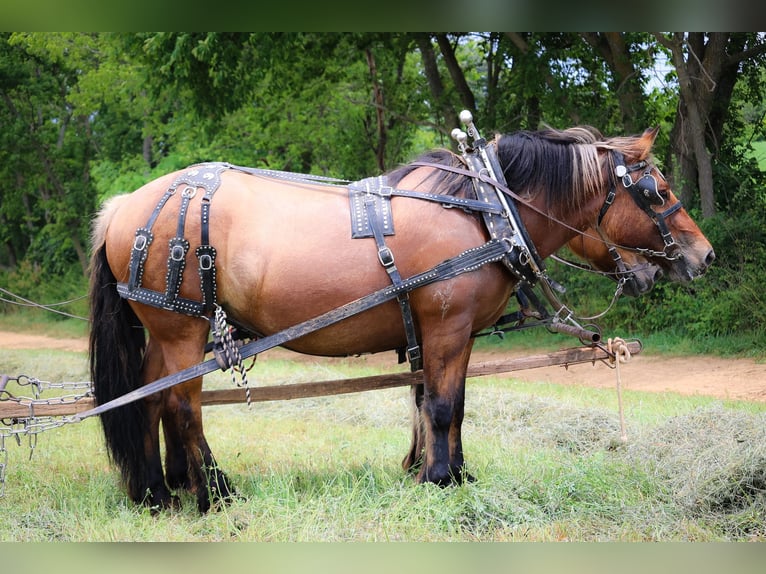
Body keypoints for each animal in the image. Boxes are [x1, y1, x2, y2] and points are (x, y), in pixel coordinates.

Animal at [85, 120, 712, 512]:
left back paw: (159, 492)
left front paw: (448, 473)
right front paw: (439, 479)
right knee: (182, 406)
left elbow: (443, 403)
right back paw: (214, 494)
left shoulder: (447, 335)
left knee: (149, 399)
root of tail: (123, 207)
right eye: (655, 193)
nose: (704, 256)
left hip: (166, 333)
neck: (486, 213)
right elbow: (442, 405)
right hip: (183, 327)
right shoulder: (447, 327)